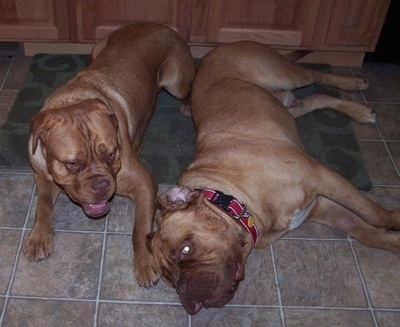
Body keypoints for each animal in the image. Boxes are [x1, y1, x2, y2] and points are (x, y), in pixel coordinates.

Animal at [23, 23, 195, 288]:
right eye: (72, 164)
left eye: (111, 154)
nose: (101, 185)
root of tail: (161, 25)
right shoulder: (41, 176)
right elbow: (42, 205)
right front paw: (39, 236)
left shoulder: (145, 183)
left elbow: (140, 229)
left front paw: (144, 263)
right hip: (96, 49)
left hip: (177, 82)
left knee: (189, 89)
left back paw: (187, 105)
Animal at [147, 41, 400, 316]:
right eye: (169, 278)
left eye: (186, 249)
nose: (186, 293)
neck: (238, 202)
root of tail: (219, 48)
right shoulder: (323, 207)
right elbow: (368, 233)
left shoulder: (322, 177)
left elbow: (373, 214)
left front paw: (394, 219)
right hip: (287, 106)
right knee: (316, 98)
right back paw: (359, 110)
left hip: (284, 73)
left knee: (316, 75)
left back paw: (356, 85)